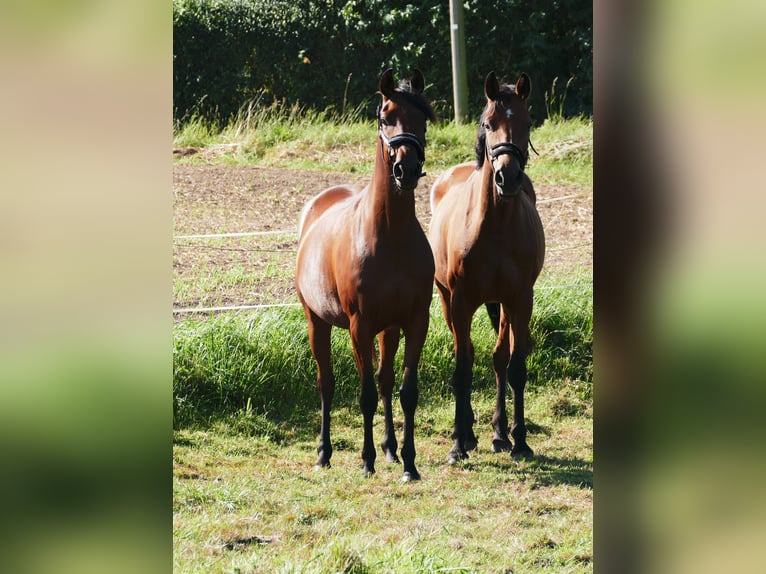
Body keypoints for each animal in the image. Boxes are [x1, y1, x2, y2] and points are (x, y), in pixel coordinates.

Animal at [296, 67, 438, 484]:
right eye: (386, 116)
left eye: (423, 118)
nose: (406, 169)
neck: (388, 235)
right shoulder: (359, 326)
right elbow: (364, 396)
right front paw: (366, 460)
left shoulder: (414, 322)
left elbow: (405, 391)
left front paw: (409, 463)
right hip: (317, 322)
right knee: (326, 385)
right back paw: (324, 453)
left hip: (387, 330)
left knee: (385, 381)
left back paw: (391, 450)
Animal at [432, 72, 544, 466]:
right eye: (488, 124)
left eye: (527, 122)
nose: (506, 177)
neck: (493, 226)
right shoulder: (460, 301)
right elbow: (463, 367)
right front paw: (456, 444)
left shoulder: (520, 300)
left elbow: (515, 367)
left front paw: (520, 440)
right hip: (448, 301)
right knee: (464, 352)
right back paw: (467, 434)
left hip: (503, 305)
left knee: (499, 360)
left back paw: (499, 435)